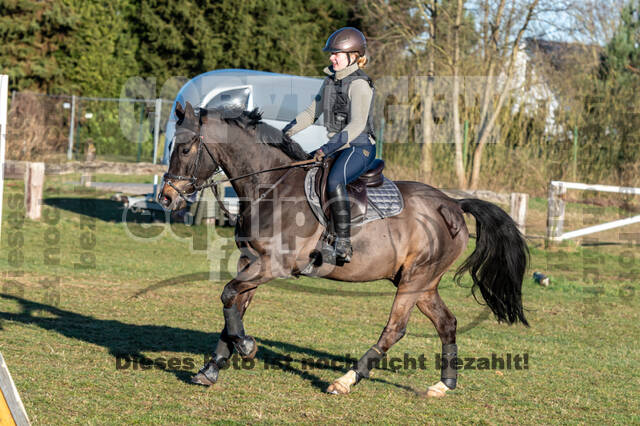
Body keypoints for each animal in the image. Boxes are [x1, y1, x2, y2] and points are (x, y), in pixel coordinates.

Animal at [158, 101, 528, 398]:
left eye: (186, 149)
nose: (166, 197)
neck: (271, 187)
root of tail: (452, 203)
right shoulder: (251, 262)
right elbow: (233, 304)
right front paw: (212, 368)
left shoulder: (273, 265)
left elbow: (227, 294)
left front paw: (247, 347)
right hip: (421, 282)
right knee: (447, 323)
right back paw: (443, 385)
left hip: (416, 279)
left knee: (395, 329)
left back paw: (346, 380)